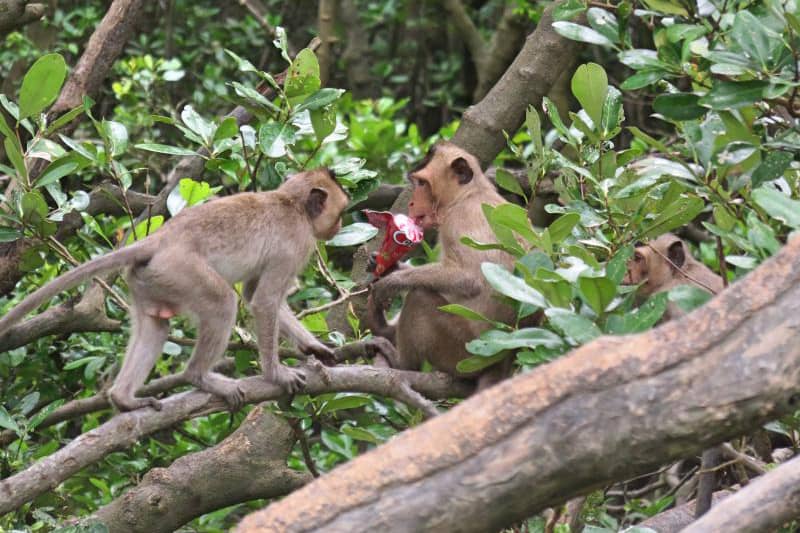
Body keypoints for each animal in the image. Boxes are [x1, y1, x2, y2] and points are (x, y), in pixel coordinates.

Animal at [0, 168, 349, 411]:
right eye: (342, 212)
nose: (340, 226)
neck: (293, 204)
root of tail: (161, 238)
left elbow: (254, 295)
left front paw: (315, 348)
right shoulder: (296, 244)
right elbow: (263, 301)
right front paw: (275, 374)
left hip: (149, 279)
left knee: (156, 325)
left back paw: (124, 398)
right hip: (181, 270)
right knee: (222, 303)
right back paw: (199, 377)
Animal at [367, 142, 517, 390]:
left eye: (422, 184)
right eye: (416, 183)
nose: (411, 202)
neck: (468, 194)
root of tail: (500, 363)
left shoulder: (460, 220)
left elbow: (470, 278)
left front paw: (391, 282)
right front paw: (387, 266)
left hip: (461, 353)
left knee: (420, 296)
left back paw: (401, 363)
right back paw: (384, 329)